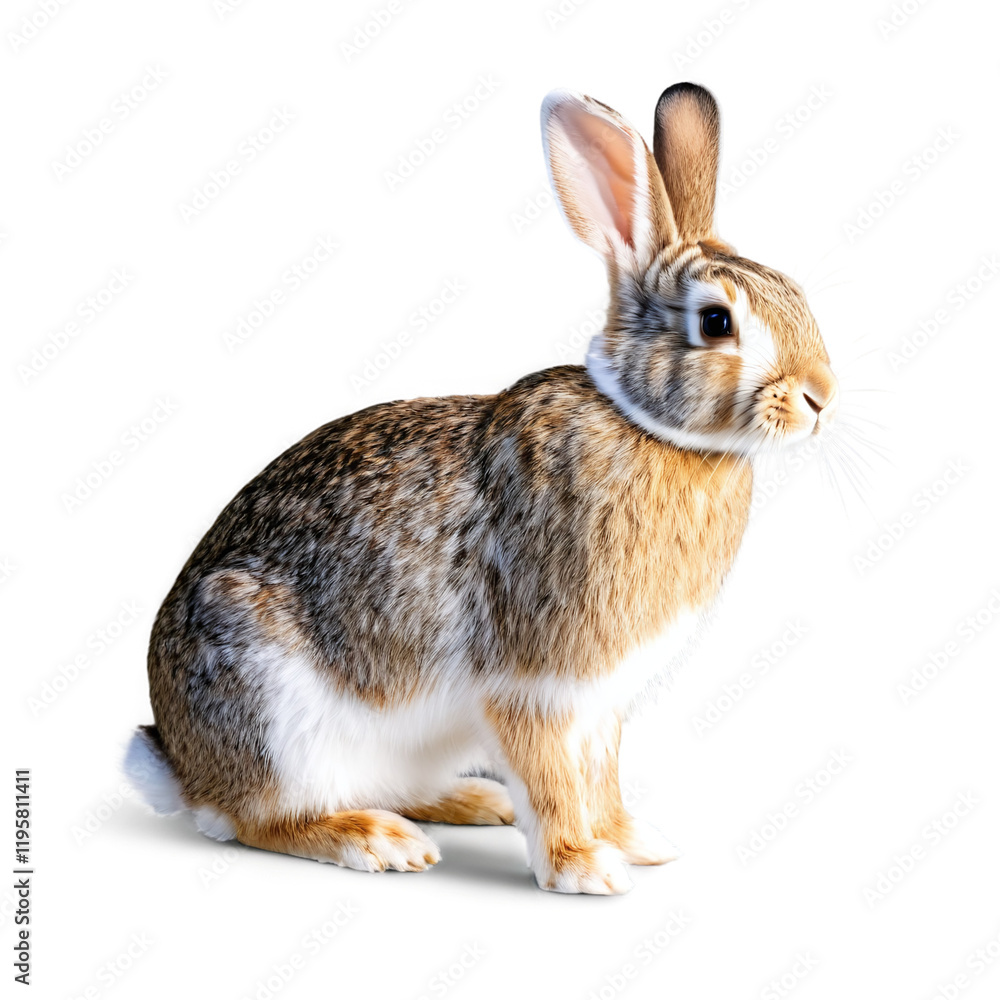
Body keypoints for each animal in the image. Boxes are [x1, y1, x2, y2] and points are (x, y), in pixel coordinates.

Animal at [124, 82, 838, 894]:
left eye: (793, 293)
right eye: (717, 322)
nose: (822, 396)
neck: (650, 427)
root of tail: (181, 766)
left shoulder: (602, 701)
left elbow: (600, 774)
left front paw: (637, 841)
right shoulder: (535, 682)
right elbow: (552, 777)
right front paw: (583, 868)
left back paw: (471, 801)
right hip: (272, 707)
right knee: (260, 819)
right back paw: (376, 840)